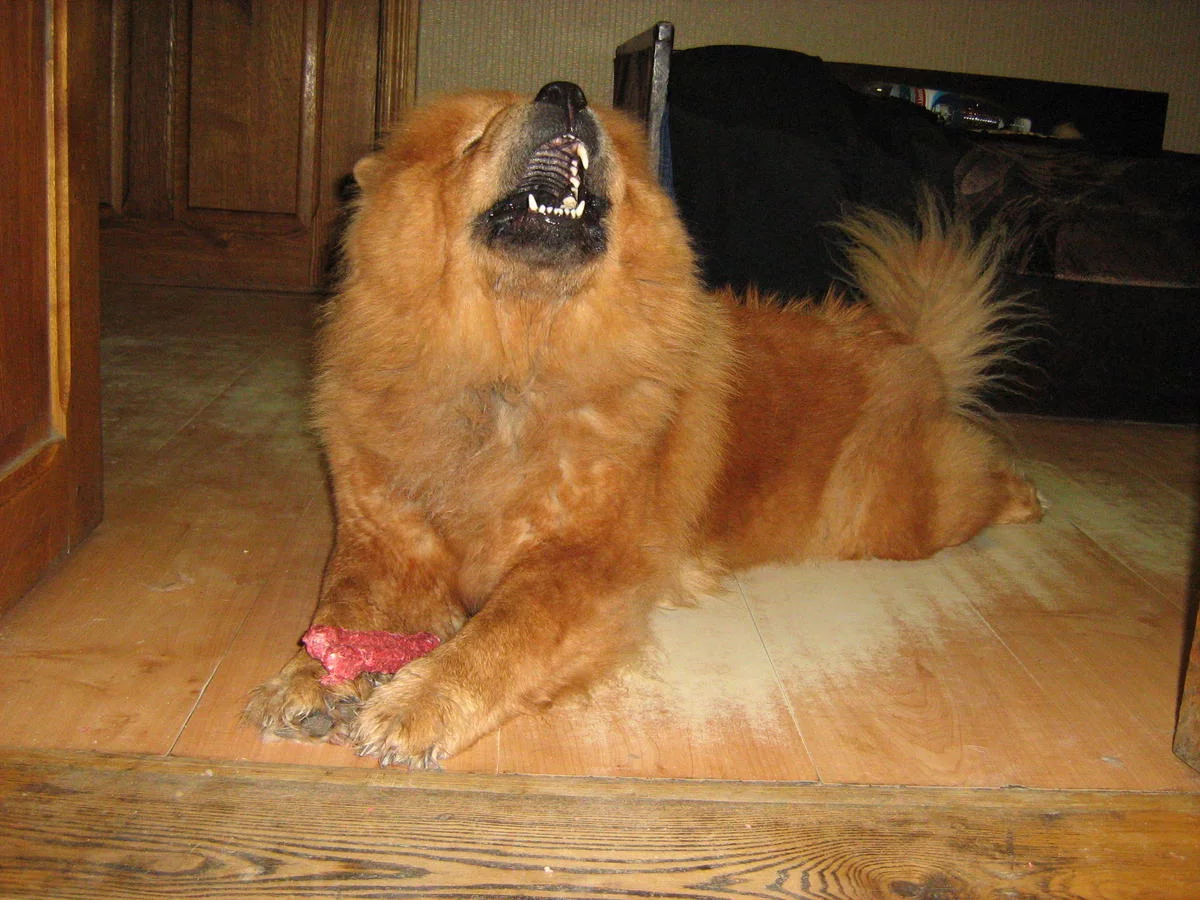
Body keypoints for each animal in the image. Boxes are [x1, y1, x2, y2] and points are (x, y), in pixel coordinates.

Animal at [244, 81, 1042, 767]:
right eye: (473, 139)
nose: (564, 93)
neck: (511, 365)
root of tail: (910, 344)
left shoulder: (585, 560)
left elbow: (504, 631)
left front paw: (419, 703)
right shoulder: (383, 539)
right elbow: (342, 604)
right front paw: (306, 680)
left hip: (891, 517)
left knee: (981, 473)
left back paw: (1029, 496)